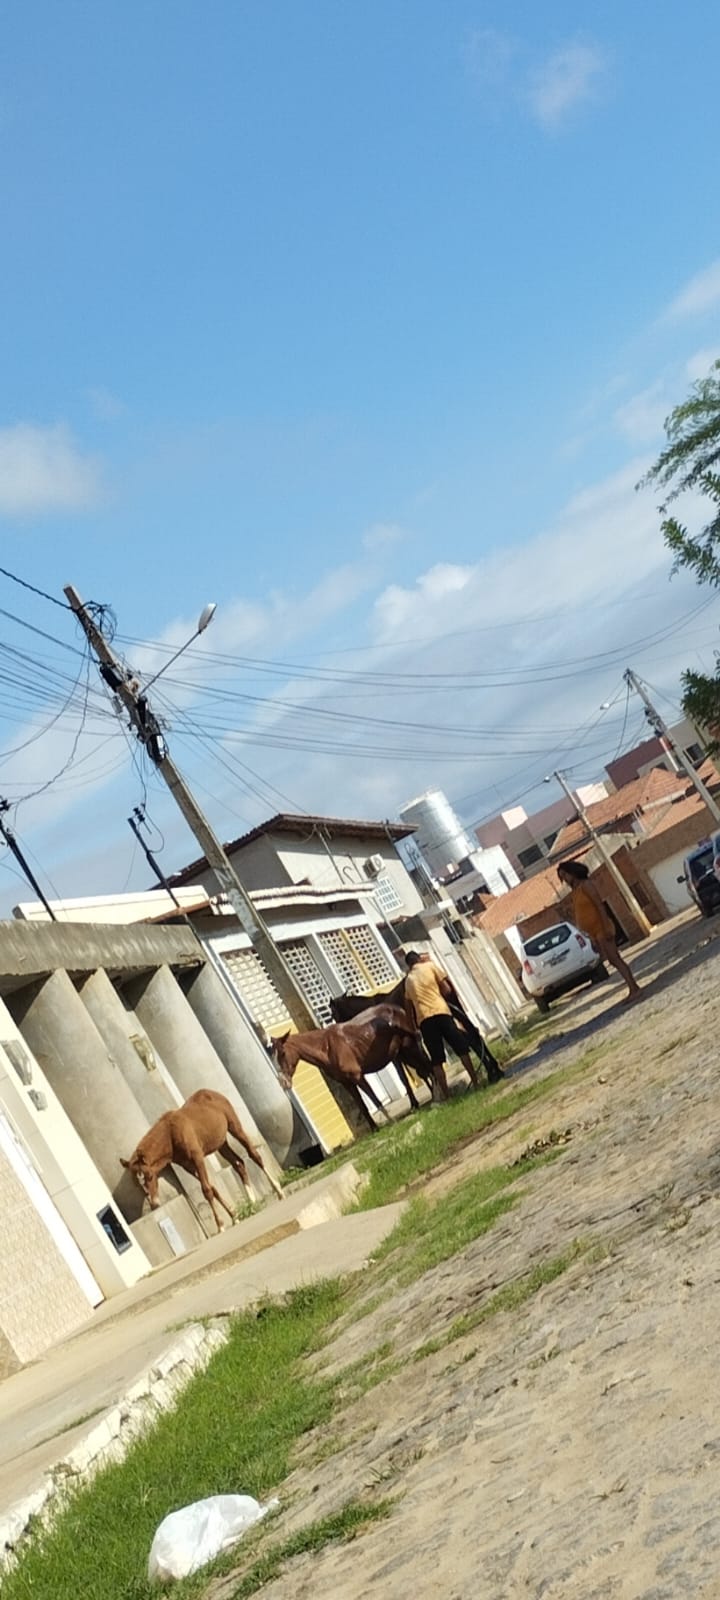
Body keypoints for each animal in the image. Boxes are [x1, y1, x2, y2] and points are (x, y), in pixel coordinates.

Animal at [120, 1089, 283, 1233]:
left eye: (149, 1176)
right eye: (136, 1184)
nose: (154, 1203)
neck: (170, 1134)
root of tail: (213, 1093)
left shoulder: (197, 1157)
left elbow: (206, 1190)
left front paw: (221, 1226)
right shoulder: (187, 1165)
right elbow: (212, 1187)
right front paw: (234, 1216)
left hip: (234, 1127)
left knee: (254, 1155)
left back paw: (279, 1191)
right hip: (221, 1143)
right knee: (239, 1164)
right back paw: (253, 1203)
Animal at [269, 1004, 449, 1131]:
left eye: (283, 1053)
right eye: (273, 1056)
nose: (284, 1082)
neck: (327, 1048)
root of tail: (397, 1009)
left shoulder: (357, 1077)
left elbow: (375, 1100)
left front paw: (390, 1121)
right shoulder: (347, 1084)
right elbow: (362, 1107)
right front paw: (374, 1129)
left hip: (410, 1048)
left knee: (429, 1068)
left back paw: (438, 1098)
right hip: (403, 1054)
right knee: (425, 1070)